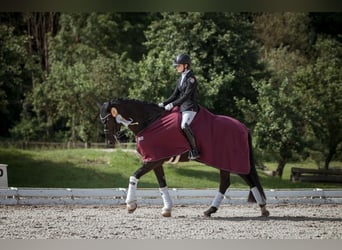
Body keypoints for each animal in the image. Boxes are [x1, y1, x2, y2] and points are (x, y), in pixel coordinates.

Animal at [99, 97, 270, 217]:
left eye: (106, 119)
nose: (109, 141)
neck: (150, 122)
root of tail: (243, 127)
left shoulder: (154, 160)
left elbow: (134, 176)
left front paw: (131, 205)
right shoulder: (156, 160)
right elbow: (162, 184)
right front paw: (167, 209)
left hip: (232, 160)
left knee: (244, 180)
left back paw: (260, 209)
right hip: (224, 161)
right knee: (229, 182)